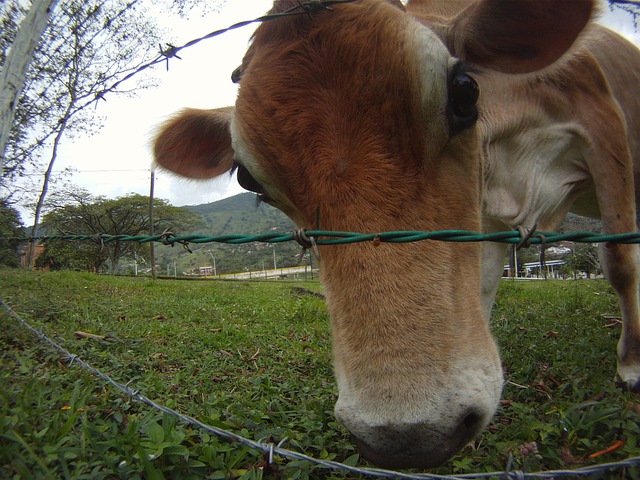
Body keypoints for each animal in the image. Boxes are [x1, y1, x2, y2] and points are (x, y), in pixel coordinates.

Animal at [154, 0, 640, 470]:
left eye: (465, 91)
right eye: (246, 178)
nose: (409, 437)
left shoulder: (602, 123)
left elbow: (620, 260)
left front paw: (631, 366)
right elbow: (480, 285)